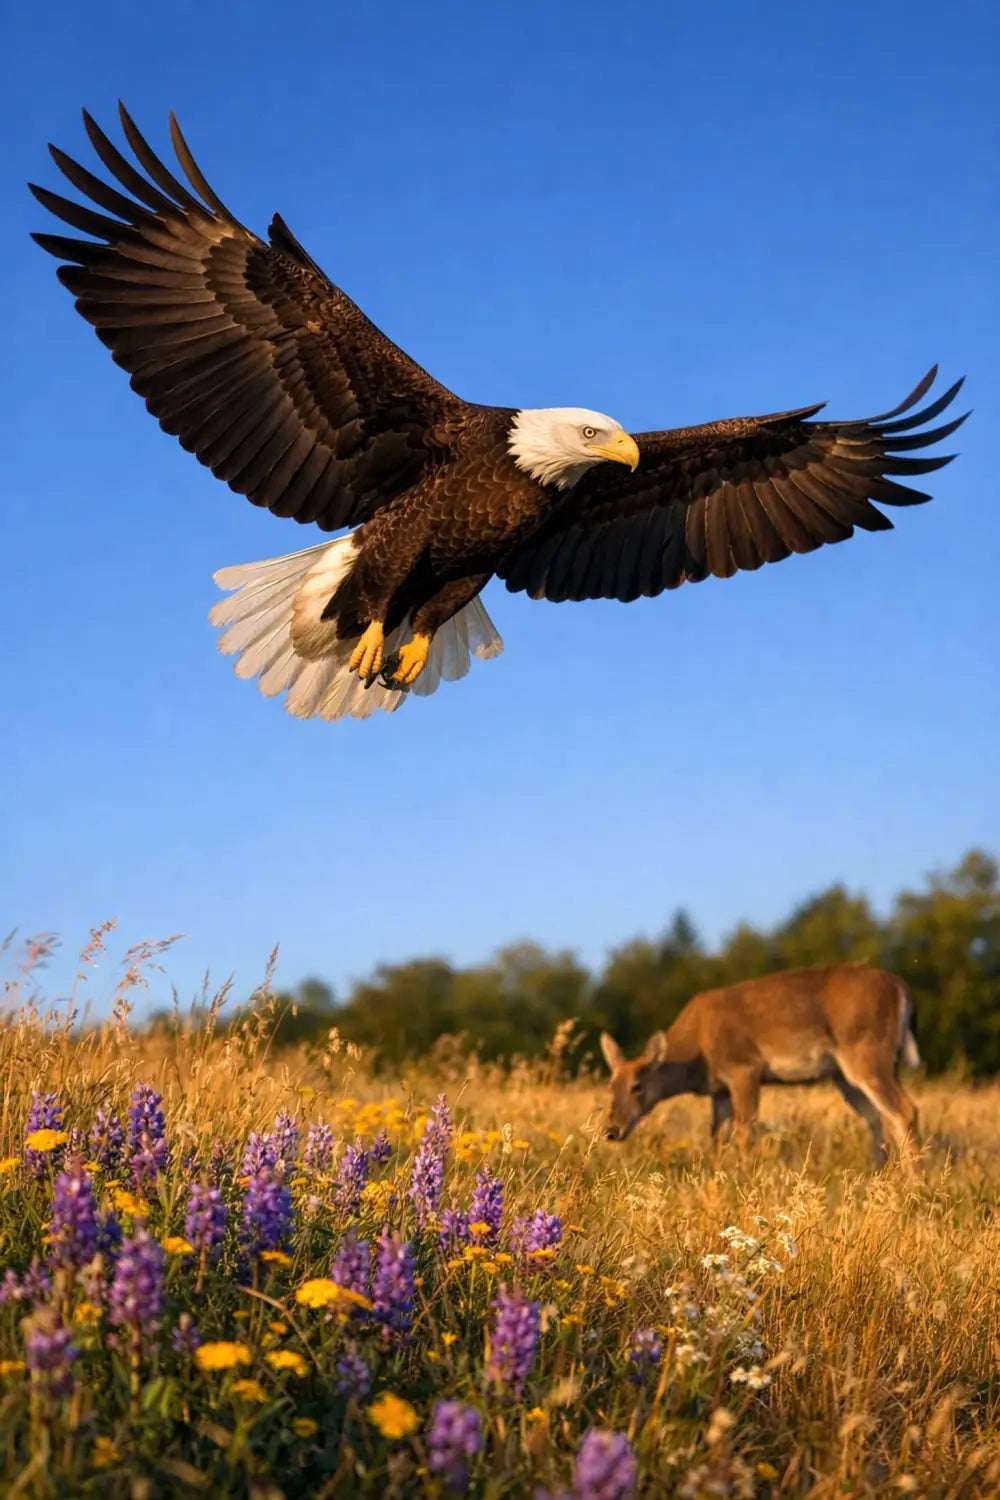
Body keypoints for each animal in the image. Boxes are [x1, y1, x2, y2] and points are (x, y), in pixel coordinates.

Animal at [600, 964, 921, 1166]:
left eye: (637, 1086)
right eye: (609, 1087)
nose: (611, 1131)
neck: (698, 1051)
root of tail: (901, 986)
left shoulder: (744, 1068)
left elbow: (746, 1133)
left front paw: (745, 1178)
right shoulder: (720, 1090)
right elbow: (718, 1138)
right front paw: (717, 1177)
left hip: (866, 1051)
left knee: (905, 1110)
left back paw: (915, 1184)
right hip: (849, 1072)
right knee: (878, 1116)